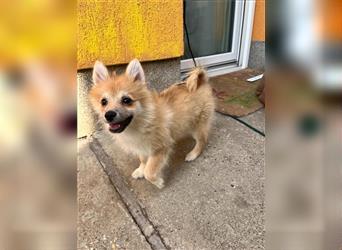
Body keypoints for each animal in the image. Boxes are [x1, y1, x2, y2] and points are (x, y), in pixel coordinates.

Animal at [89, 59, 215, 188]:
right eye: (103, 102)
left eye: (126, 100)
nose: (109, 115)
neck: (141, 122)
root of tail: (202, 81)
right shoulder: (141, 146)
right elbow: (143, 160)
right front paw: (141, 170)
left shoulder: (161, 148)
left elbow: (149, 172)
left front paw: (158, 182)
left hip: (198, 125)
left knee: (202, 140)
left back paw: (193, 154)